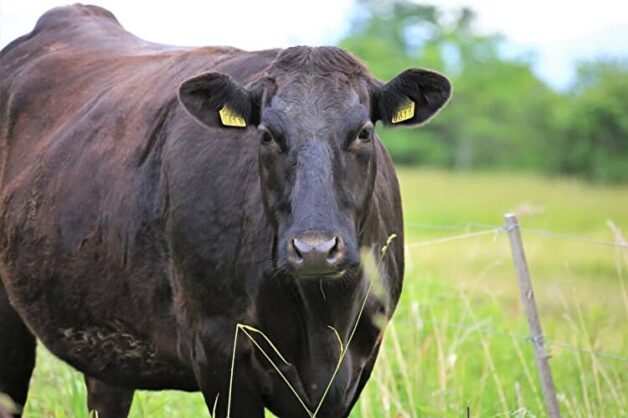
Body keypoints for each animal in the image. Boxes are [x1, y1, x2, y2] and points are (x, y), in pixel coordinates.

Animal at [0, 4, 452, 418]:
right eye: (267, 134)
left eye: (364, 132)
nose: (315, 249)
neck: (321, 321)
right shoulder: (220, 353)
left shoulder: (356, 364)